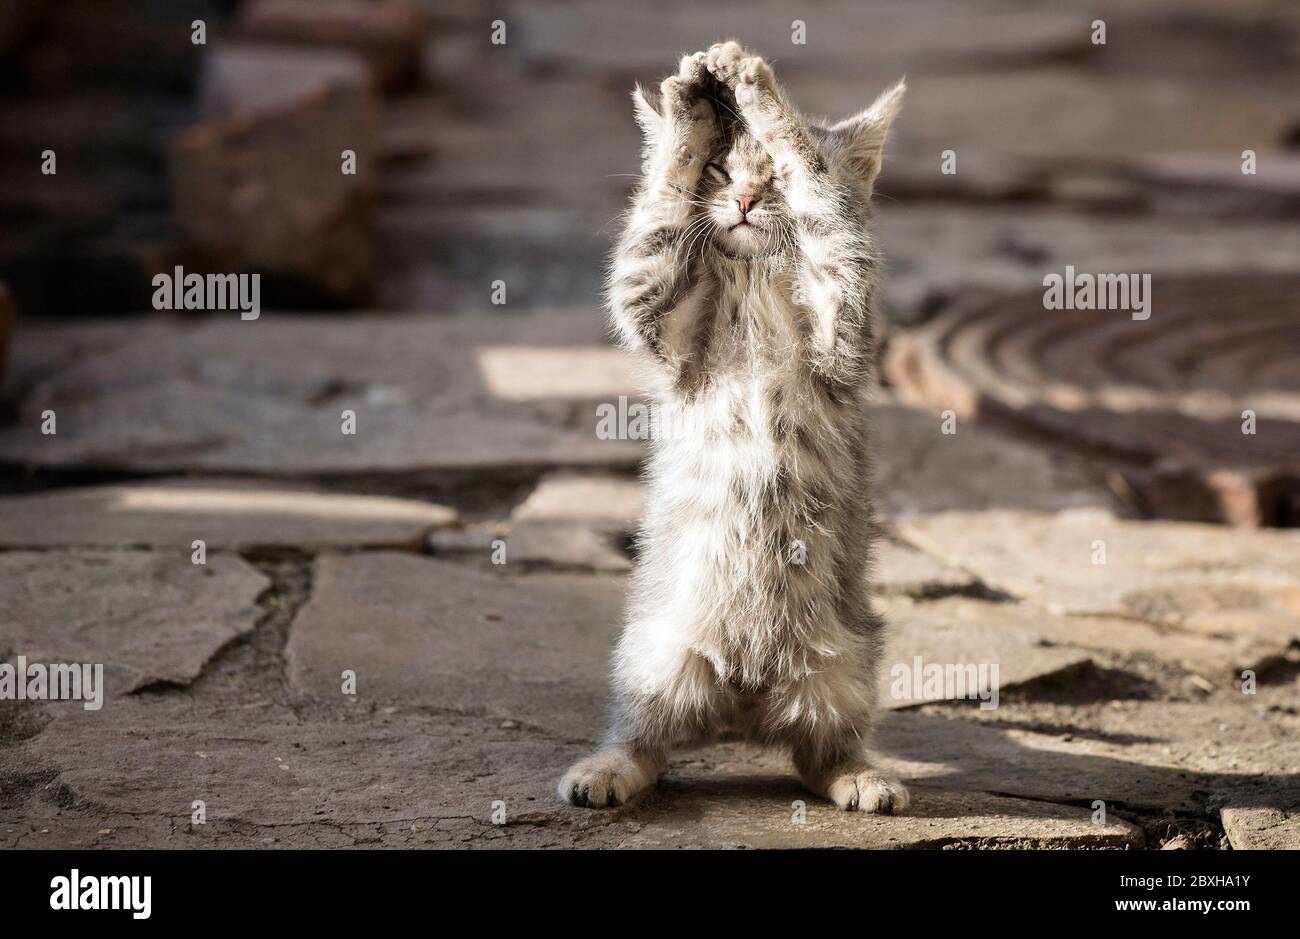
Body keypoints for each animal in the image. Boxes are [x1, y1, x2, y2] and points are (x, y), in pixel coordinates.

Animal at [561, 40, 915, 806]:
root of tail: (744, 704)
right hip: (652, 653)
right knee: (645, 739)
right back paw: (606, 771)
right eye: (721, 171)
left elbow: (822, 198)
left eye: (771, 178)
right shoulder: (655, 315)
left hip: (845, 668)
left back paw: (863, 777)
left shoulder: (842, 314)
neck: (753, 281)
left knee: (821, 753)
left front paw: (761, 94)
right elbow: (657, 213)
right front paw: (684, 113)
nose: (747, 200)